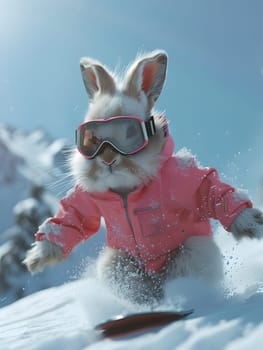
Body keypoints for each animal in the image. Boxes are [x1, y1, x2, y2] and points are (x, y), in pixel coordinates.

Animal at [24, 50, 263, 304]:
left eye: (130, 132)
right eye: (91, 139)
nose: (108, 160)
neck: (125, 191)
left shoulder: (181, 179)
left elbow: (208, 189)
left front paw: (252, 222)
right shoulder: (85, 199)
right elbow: (70, 218)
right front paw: (35, 259)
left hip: (193, 252)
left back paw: (180, 298)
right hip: (115, 263)